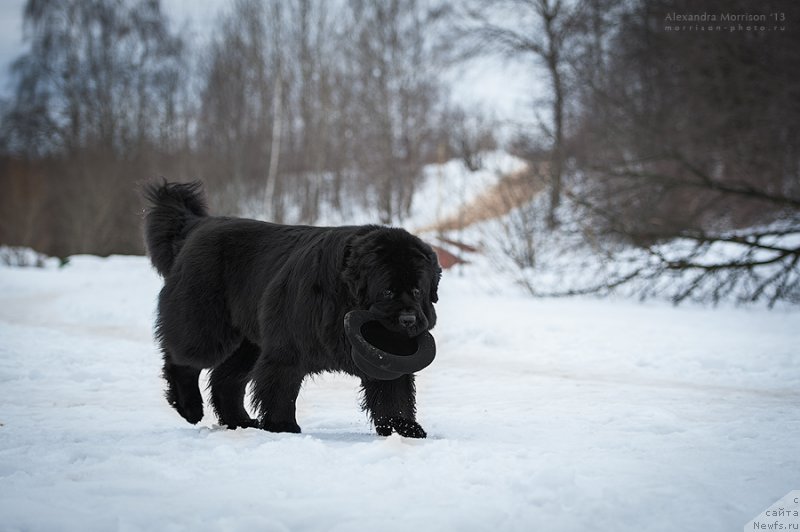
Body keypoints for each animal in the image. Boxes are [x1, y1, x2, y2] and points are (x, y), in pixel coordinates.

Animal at [144, 181, 444, 438]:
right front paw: (282, 426)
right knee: (182, 358)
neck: (344, 299)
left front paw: (405, 428)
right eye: (387, 292)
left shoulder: (388, 357)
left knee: (225, 380)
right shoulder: (286, 347)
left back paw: (239, 421)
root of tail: (198, 225)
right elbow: (282, 387)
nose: (408, 320)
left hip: (248, 344)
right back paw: (190, 407)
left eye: (417, 291)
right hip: (206, 327)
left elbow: (395, 394)